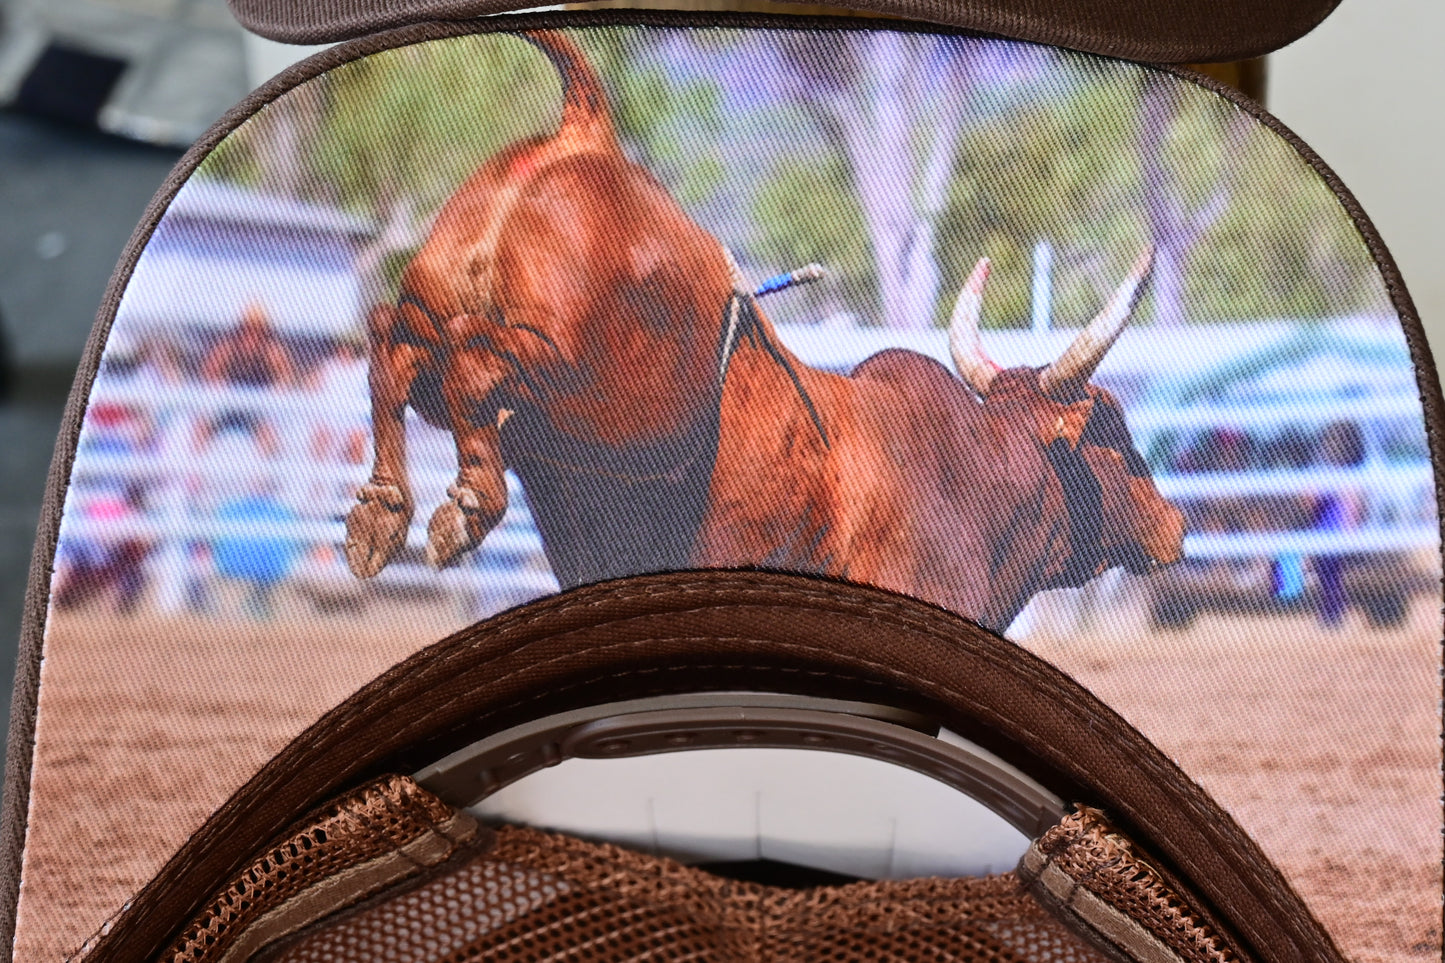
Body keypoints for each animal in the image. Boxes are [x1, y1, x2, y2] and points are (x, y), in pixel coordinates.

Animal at [343, 30, 1179, 630]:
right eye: (1113, 430)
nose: (1172, 523)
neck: (977, 468)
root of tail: (587, 136)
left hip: (451, 328)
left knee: (397, 342)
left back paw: (382, 510)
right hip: (609, 399)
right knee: (475, 363)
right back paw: (466, 502)